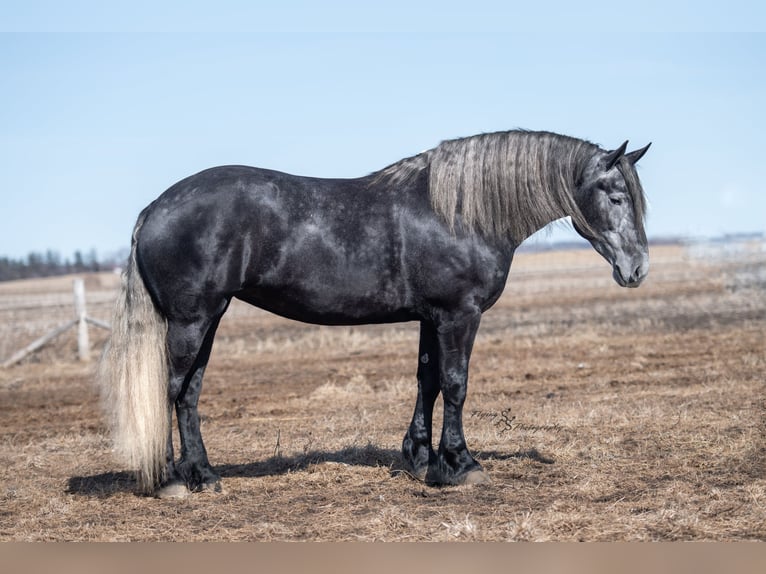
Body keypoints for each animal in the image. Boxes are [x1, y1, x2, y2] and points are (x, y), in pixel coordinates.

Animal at [99, 130, 651, 498]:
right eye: (616, 196)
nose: (638, 268)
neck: (459, 213)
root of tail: (154, 208)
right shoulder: (459, 315)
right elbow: (456, 384)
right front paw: (462, 464)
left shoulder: (432, 317)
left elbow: (427, 381)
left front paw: (422, 459)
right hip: (191, 320)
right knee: (169, 388)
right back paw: (171, 480)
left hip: (208, 319)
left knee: (189, 394)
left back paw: (205, 476)